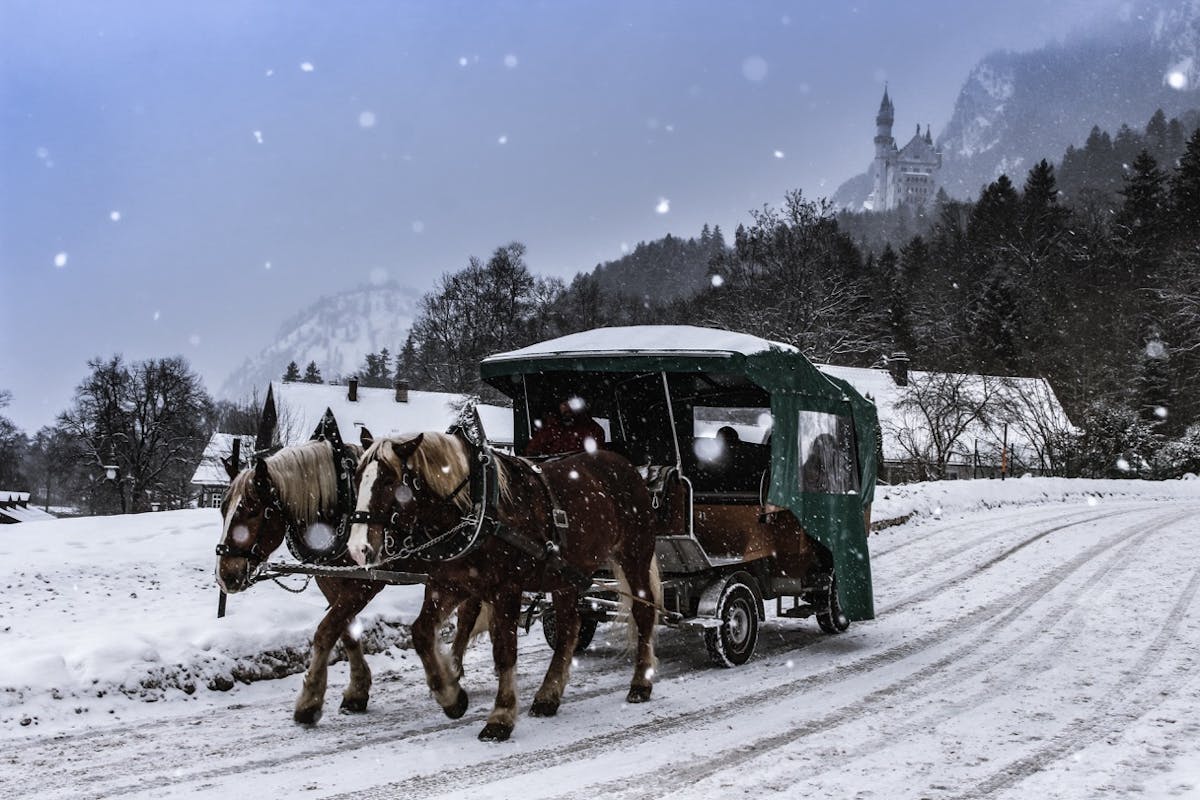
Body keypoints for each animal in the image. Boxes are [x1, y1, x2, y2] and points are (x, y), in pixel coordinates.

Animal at [213, 441, 484, 729]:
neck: (343, 504)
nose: (225, 575)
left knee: (468, 615)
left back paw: (453, 671)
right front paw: (357, 691)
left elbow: (325, 630)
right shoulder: (329, 579)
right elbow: (345, 631)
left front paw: (309, 701)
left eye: (252, 510)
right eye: (223, 509)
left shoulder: (365, 582)